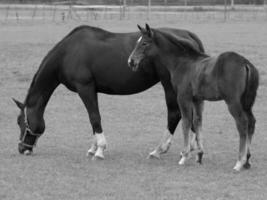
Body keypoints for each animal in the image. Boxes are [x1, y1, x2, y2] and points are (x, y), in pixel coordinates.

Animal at [12, 25, 205, 159]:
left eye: (20, 122)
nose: (22, 148)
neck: (69, 52)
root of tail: (188, 35)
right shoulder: (91, 90)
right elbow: (93, 118)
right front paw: (93, 147)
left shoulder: (85, 88)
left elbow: (94, 117)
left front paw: (99, 149)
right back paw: (191, 148)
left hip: (169, 86)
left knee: (174, 114)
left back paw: (159, 150)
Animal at [128, 24, 260, 171]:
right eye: (137, 42)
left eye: (144, 43)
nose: (131, 61)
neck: (183, 63)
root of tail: (245, 63)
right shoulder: (198, 99)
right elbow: (197, 122)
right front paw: (200, 155)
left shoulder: (183, 97)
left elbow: (186, 122)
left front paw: (184, 156)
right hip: (247, 103)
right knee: (251, 122)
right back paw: (247, 160)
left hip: (233, 102)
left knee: (242, 123)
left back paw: (239, 162)